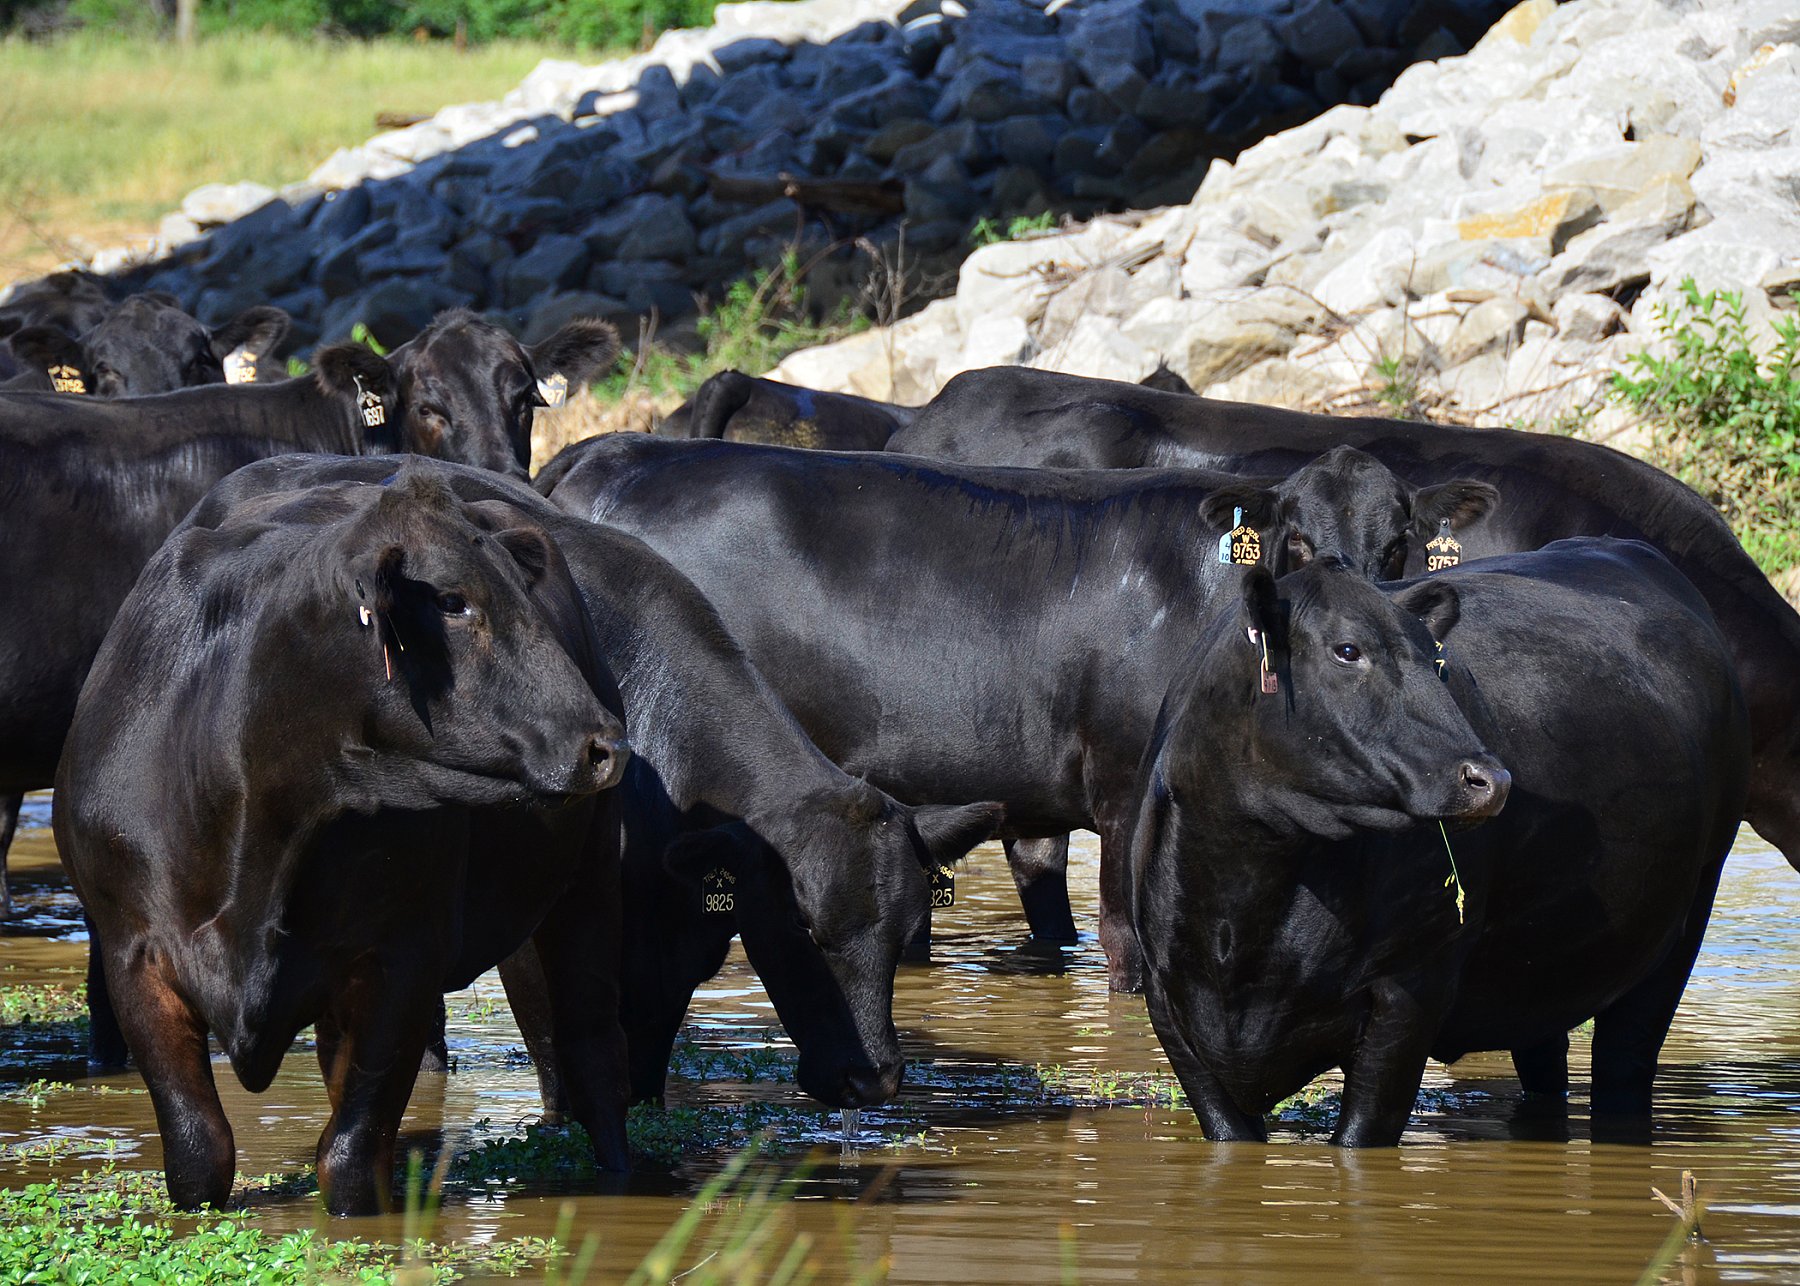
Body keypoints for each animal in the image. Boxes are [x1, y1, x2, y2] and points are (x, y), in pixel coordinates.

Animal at [55, 463, 633, 1216]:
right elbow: (199, 1154)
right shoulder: (133, 950)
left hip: (587, 885)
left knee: (593, 1049)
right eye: (453, 600)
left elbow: (352, 1160)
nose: (604, 743)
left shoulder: (404, 955)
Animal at [537, 436, 1498, 991]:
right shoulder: (1125, 789)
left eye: (1399, 544)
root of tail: (610, 453)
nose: (1358, 621)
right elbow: (1127, 941)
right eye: (1296, 539)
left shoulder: (1039, 799)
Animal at [1132, 541, 1747, 1145]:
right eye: (1348, 650)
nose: (1491, 779)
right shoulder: (1170, 1005)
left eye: (1437, 663)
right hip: (1542, 967)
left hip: (1685, 920)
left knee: (1625, 1063)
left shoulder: (1409, 992)